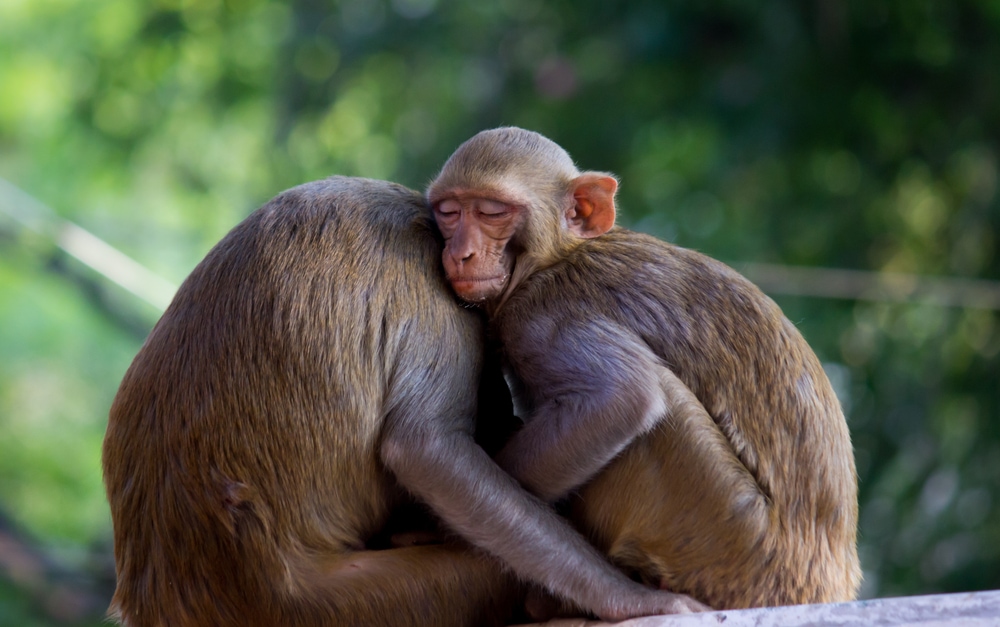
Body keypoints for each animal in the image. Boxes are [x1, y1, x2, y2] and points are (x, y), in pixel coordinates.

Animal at [426, 127, 863, 612]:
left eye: (492, 212)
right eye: (448, 212)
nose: (461, 253)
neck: (554, 258)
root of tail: (829, 584)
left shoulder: (541, 317)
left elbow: (622, 398)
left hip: (731, 538)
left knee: (659, 398)